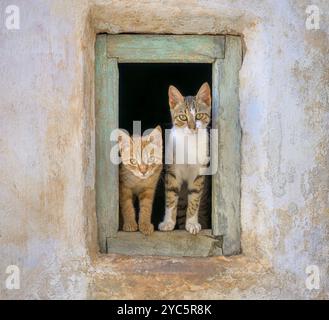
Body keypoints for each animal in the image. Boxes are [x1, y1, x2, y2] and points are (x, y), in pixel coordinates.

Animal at [158, 81, 210, 234]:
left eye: (199, 116)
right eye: (183, 117)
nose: (193, 127)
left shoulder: (199, 173)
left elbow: (195, 198)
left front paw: (192, 223)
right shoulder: (172, 171)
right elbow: (170, 197)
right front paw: (168, 223)